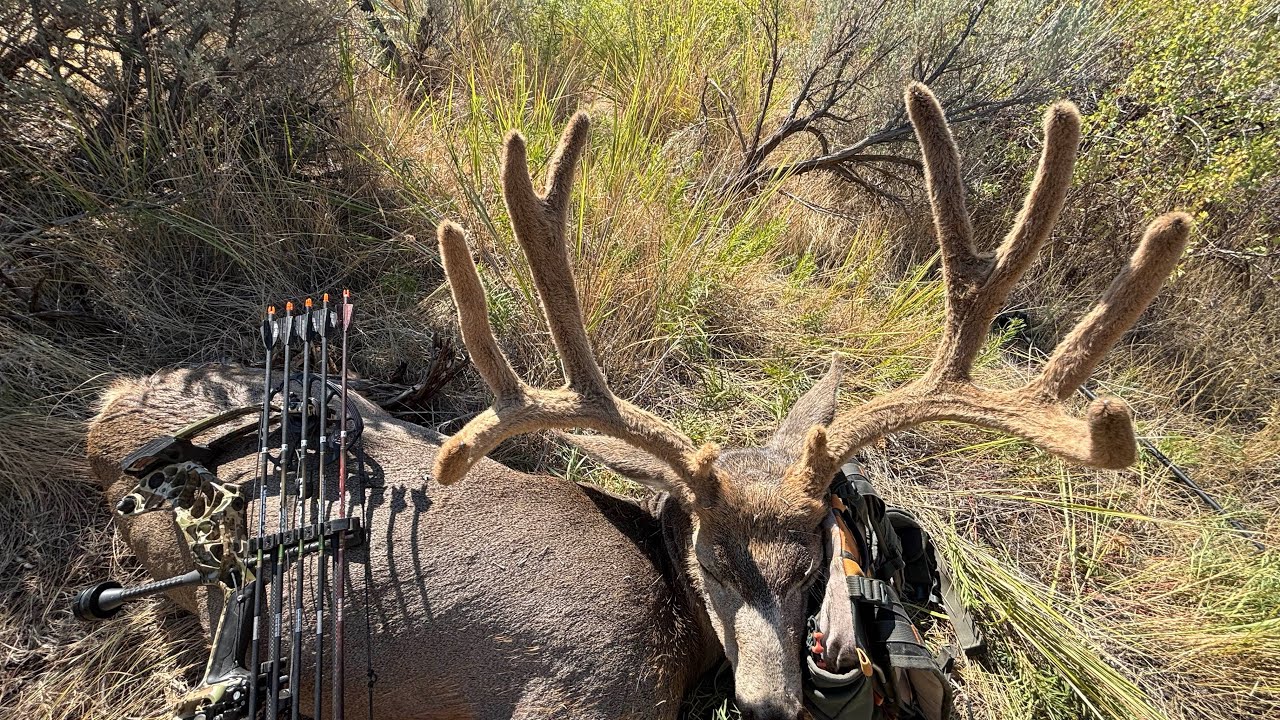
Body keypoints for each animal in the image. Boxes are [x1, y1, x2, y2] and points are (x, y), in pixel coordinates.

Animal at [84, 82, 1190, 720]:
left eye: (811, 565)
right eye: (710, 557)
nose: (772, 704)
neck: (674, 622)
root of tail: (103, 416)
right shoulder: (570, 694)